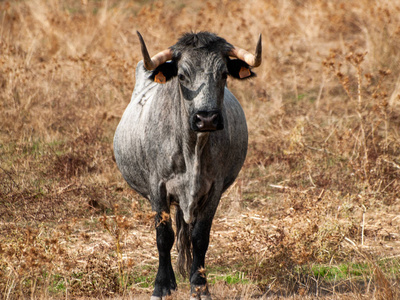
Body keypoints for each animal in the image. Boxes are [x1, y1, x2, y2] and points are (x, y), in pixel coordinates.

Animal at [113, 31, 262, 298]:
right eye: (182, 75)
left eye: (224, 74)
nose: (207, 118)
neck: (193, 150)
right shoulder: (157, 188)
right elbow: (164, 236)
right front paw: (162, 285)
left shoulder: (214, 190)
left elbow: (200, 236)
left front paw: (199, 285)